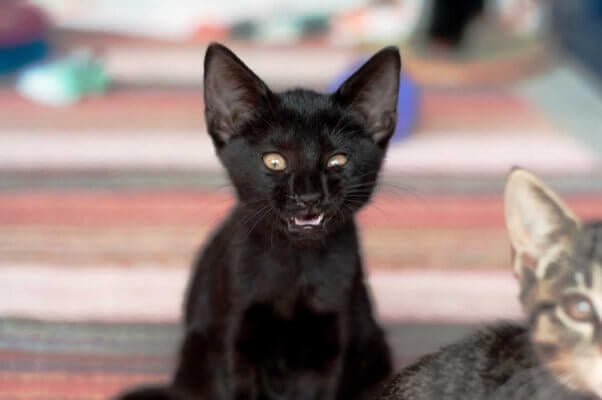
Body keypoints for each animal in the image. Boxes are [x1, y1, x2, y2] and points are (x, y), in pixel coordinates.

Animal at [115, 42, 400, 398]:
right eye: (274, 161)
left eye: (338, 160)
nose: (308, 196)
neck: (295, 267)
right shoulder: (235, 339)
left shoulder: (333, 344)